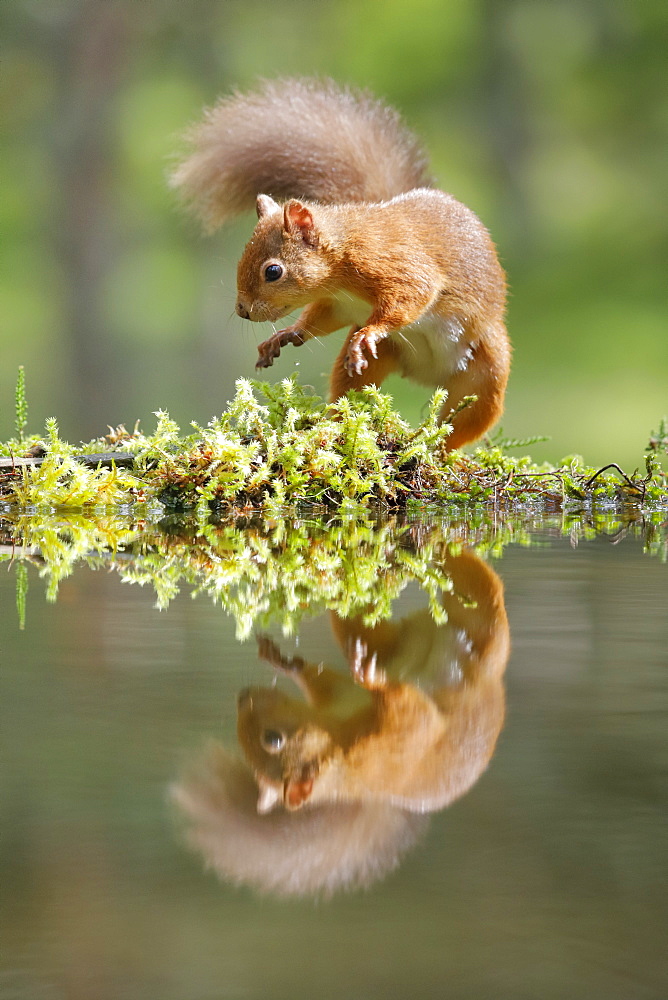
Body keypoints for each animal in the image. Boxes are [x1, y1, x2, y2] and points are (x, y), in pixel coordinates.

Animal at [174, 78, 512, 450]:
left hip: (486, 374)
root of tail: (425, 375)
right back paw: (334, 428)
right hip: (374, 363)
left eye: (273, 271)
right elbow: (320, 319)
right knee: (348, 396)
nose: (243, 310)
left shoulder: (400, 266)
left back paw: (435, 448)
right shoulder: (340, 305)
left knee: (461, 424)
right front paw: (286, 334)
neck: (342, 266)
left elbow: (412, 296)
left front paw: (370, 331)